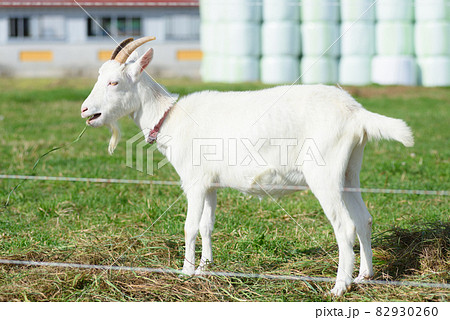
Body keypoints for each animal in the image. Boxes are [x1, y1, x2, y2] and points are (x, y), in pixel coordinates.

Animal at [81, 38, 414, 298]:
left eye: (114, 82)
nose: (85, 110)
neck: (170, 118)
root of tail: (356, 113)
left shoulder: (195, 181)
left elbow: (190, 227)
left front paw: (186, 273)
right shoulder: (211, 183)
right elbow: (207, 226)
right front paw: (205, 269)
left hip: (325, 174)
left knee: (344, 226)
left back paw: (339, 286)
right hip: (349, 171)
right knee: (363, 219)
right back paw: (365, 276)